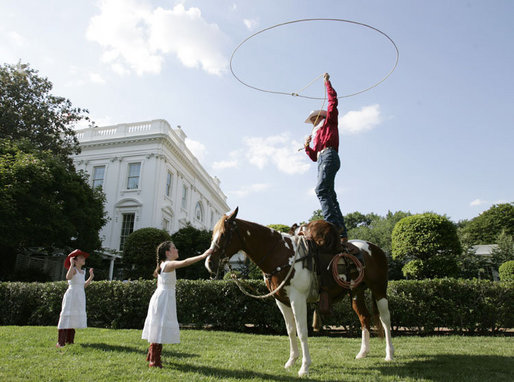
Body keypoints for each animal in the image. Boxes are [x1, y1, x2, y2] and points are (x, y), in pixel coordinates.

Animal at [204, 206, 392, 376]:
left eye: (223, 234)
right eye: (213, 235)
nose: (209, 263)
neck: (282, 254)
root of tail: (375, 248)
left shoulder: (298, 299)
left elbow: (302, 331)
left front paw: (304, 367)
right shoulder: (281, 301)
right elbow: (290, 330)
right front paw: (291, 361)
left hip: (379, 289)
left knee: (385, 319)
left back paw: (390, 354)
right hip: (356, 292)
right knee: (364, 318)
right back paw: (363, 352)